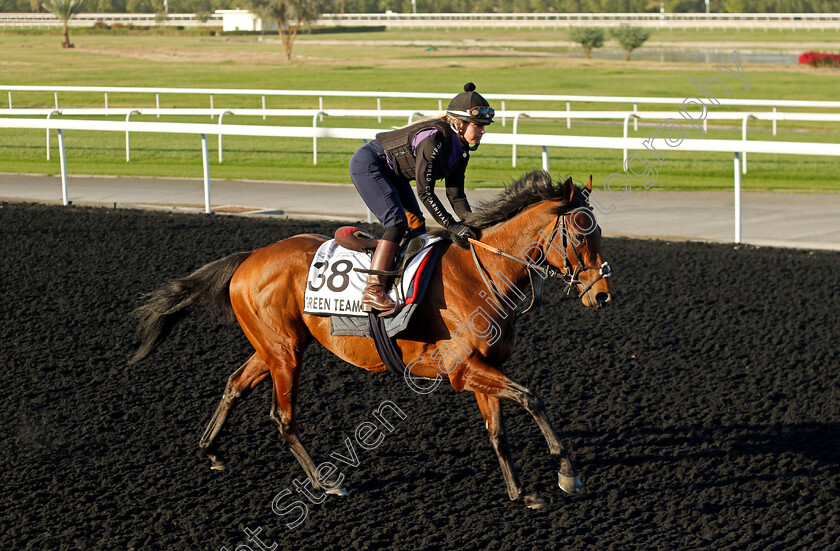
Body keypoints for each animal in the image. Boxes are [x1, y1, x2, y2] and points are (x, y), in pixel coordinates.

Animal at [135, 170, 612, 512]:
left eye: (600, 232)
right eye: (581, 231)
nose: (602, 294)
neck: (482, 274)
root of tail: (249, 257)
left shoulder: (486, 366)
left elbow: (498, 431)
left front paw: (519, 493)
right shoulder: (462, 368)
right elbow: (532, 399)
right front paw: (567, 473)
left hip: (273, 346)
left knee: (235, 384)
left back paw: (212, 451)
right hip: (285, 353)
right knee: (282, 417)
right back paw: (323, 483)